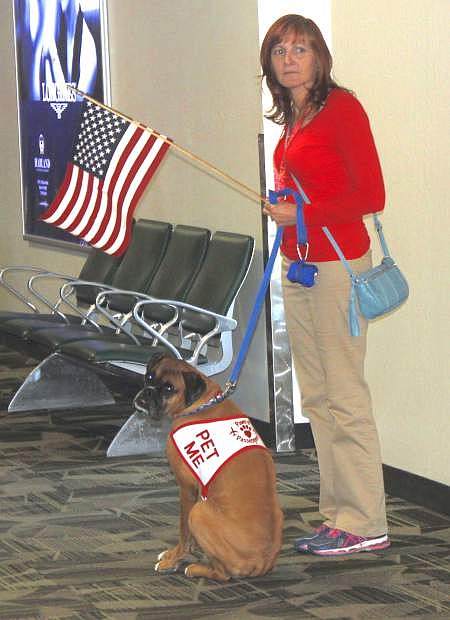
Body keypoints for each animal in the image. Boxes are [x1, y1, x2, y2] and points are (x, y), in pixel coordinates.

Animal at [134, 354, 284, 580]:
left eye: (169, 388)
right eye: (149, 376)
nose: (148, 392)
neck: (199, 403)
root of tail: (262, 562)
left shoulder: (187, 490)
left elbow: (184, 532)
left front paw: (173, 559)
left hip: (199, 512)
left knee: (223, 573)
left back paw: (197, 568)